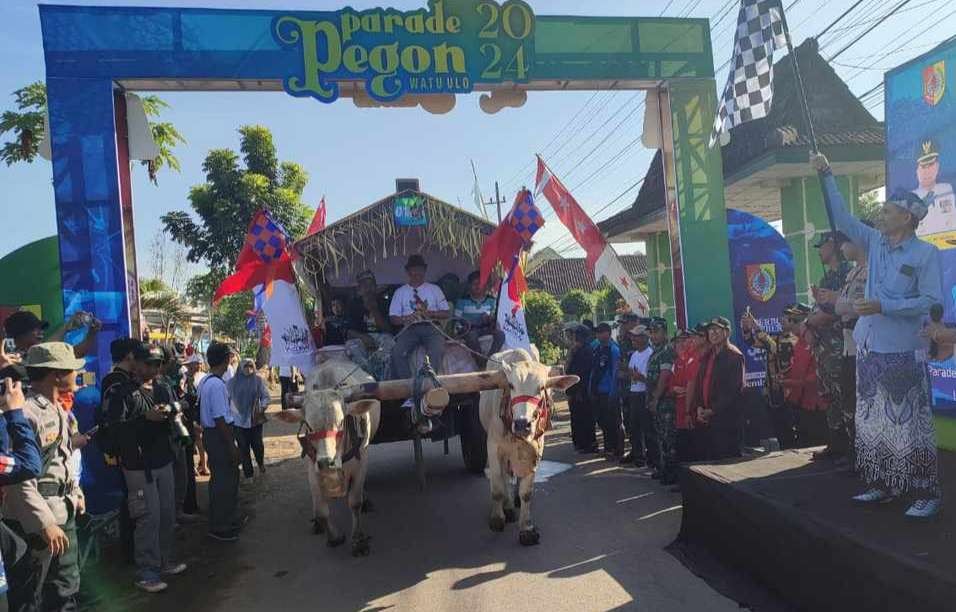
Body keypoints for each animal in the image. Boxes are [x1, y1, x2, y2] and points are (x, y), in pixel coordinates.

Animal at [274, 358, 380, 556]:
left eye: (341, 422)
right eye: (308, 425)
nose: (326, 462)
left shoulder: (361, 461)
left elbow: (355, 502)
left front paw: (358, 540)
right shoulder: (312, 468)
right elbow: (321, 510)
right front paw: (334, 537)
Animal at [476, 350, 576, 544]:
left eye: (541, 387)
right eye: (511, 385)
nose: (523, 424)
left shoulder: (536, 449)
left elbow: (526, 492)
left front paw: (527, 529)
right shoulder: (493, 447)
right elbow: (497, 487)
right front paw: (497, 519)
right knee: (505, 477)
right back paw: (507, 508)